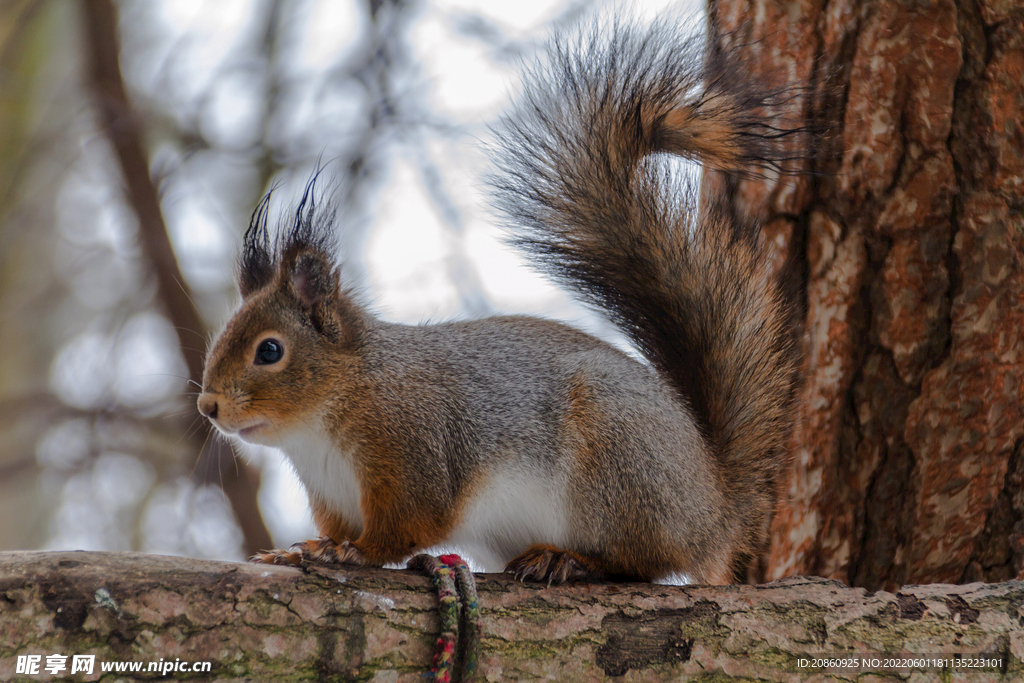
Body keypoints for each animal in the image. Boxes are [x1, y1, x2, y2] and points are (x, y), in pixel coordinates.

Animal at [197, 18, 798, 585]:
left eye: (269, 351)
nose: (209, 407)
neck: (336, 404)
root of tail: (715, 508)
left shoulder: (415, 451)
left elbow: (408, 526)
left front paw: (355, 553)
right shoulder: (333, 493)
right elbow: (338, 528)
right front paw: (305, 548)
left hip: (620, 465)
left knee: (643, 560)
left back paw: (568, 560)